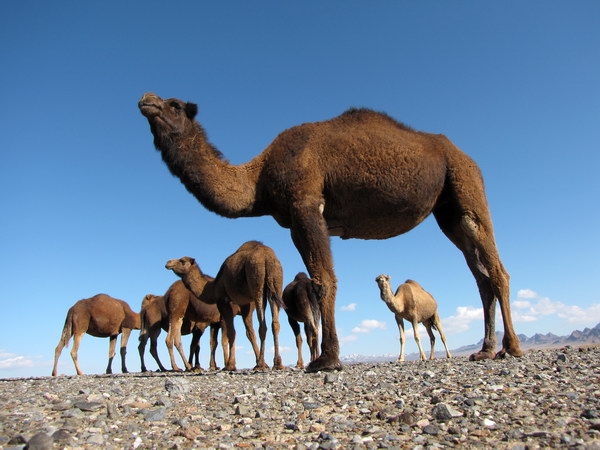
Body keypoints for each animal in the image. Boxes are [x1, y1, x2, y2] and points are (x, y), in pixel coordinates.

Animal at [165, 241, 284, 370]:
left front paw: (230, 365)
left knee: (263, 325)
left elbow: (231, 334)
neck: (213, 287)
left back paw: (261, 363)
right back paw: (277, 363)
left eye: (182, 261)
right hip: (276, 282)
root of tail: (267, 257)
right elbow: (247, 333)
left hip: (257, 281)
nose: (168, 263)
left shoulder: (223, 302)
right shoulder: (244, 305)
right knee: (275, 323)